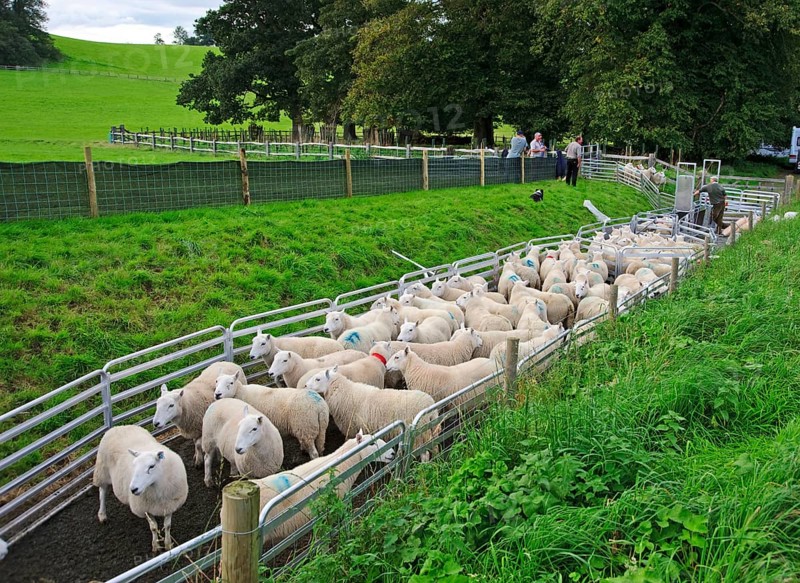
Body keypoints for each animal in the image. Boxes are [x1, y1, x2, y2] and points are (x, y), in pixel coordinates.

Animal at [305, 367, 439, 461]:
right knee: (435, 447)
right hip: (430, 431)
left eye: (317, 379)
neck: (345, 392)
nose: (305, 385)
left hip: (419, 434)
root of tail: (430, 407)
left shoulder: (352, 427)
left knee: (425, 454)